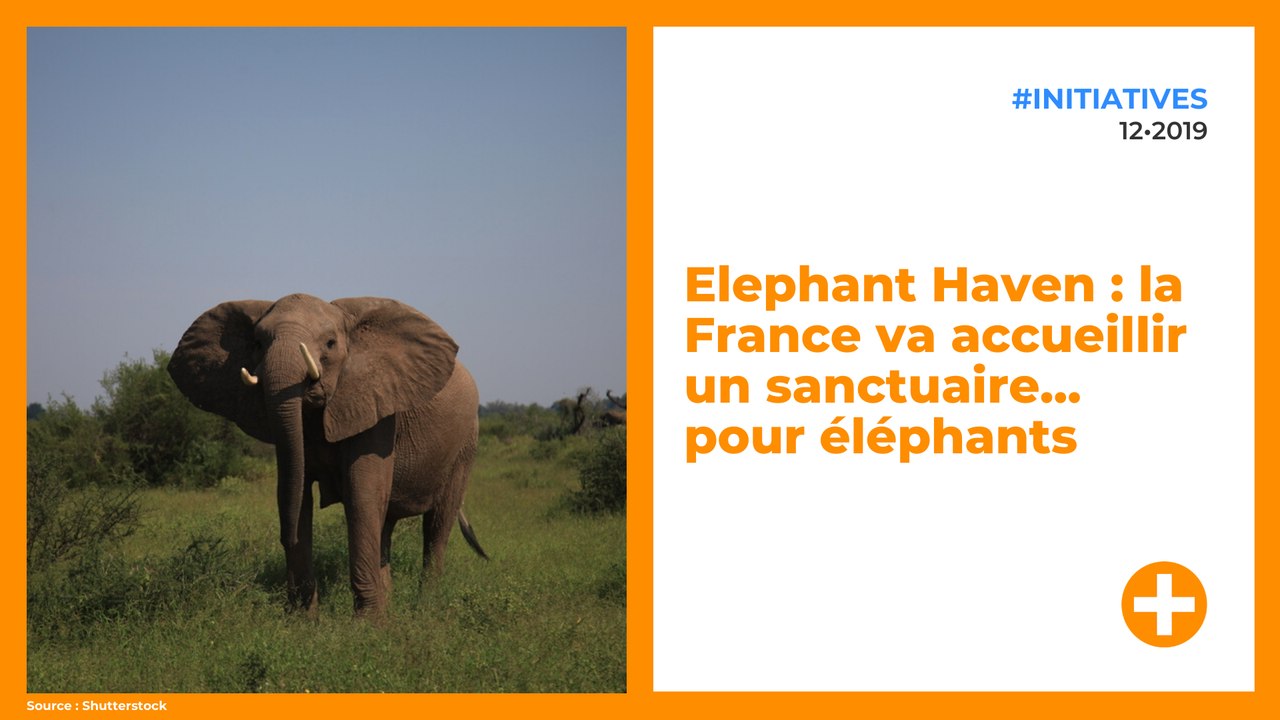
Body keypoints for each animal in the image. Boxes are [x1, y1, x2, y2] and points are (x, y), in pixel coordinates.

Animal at [168, 293, 487, 616]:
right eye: (257, 343)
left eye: (331, 344)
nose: (285, 538)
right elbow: (296, 493)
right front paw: (304, 620)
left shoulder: (375, 406)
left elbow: (361, 494)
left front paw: (367, 624)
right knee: (384, 523)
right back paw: (390, 606)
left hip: (465, 446)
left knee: (437, 524)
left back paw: (424, 608)